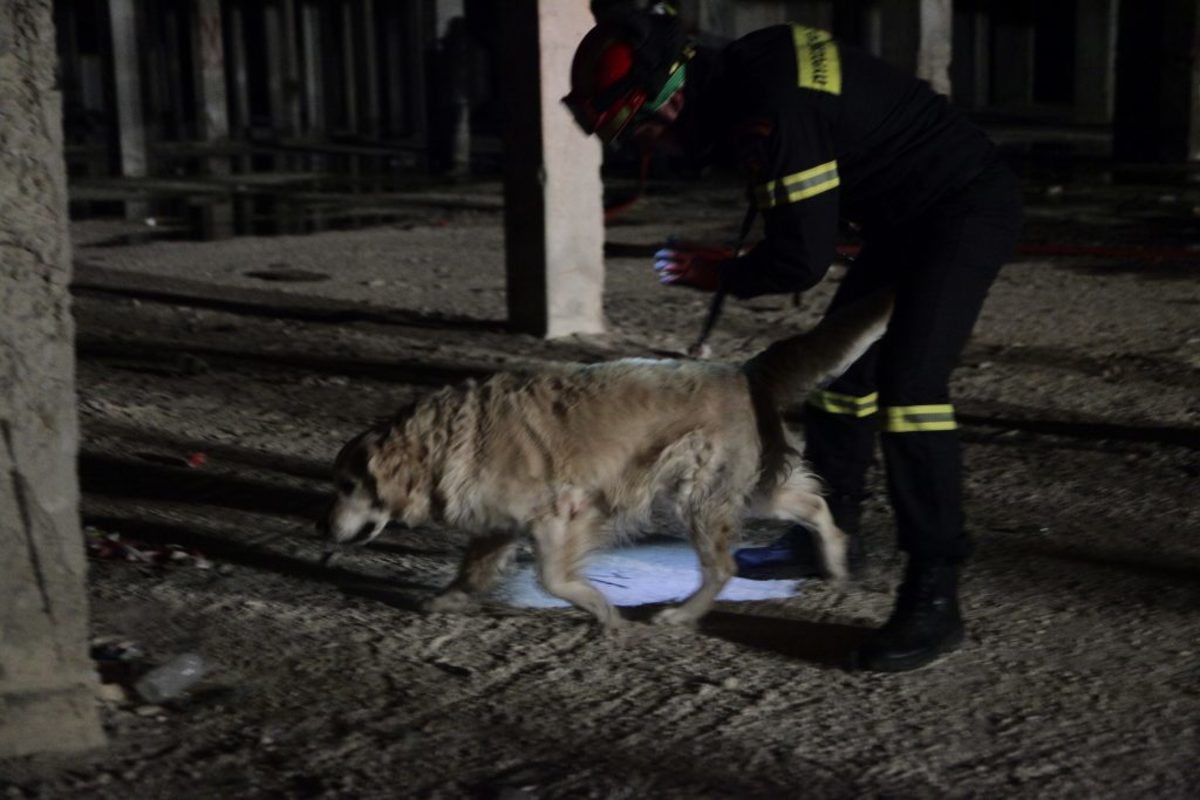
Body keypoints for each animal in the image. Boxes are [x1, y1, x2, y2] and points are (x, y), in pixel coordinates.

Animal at [321, 291, 892, 628]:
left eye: (348, 485)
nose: (322, 530)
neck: (446, 442)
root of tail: (741, 369)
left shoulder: (562, 512)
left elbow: (554, 578)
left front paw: (602, 610)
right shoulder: (500, 522)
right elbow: (474, 567)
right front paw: (450, 599)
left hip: (700, 496)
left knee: (722, 567)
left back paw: (680, 615)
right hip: (752, 489)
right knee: (816, 506)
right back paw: (835, 560)